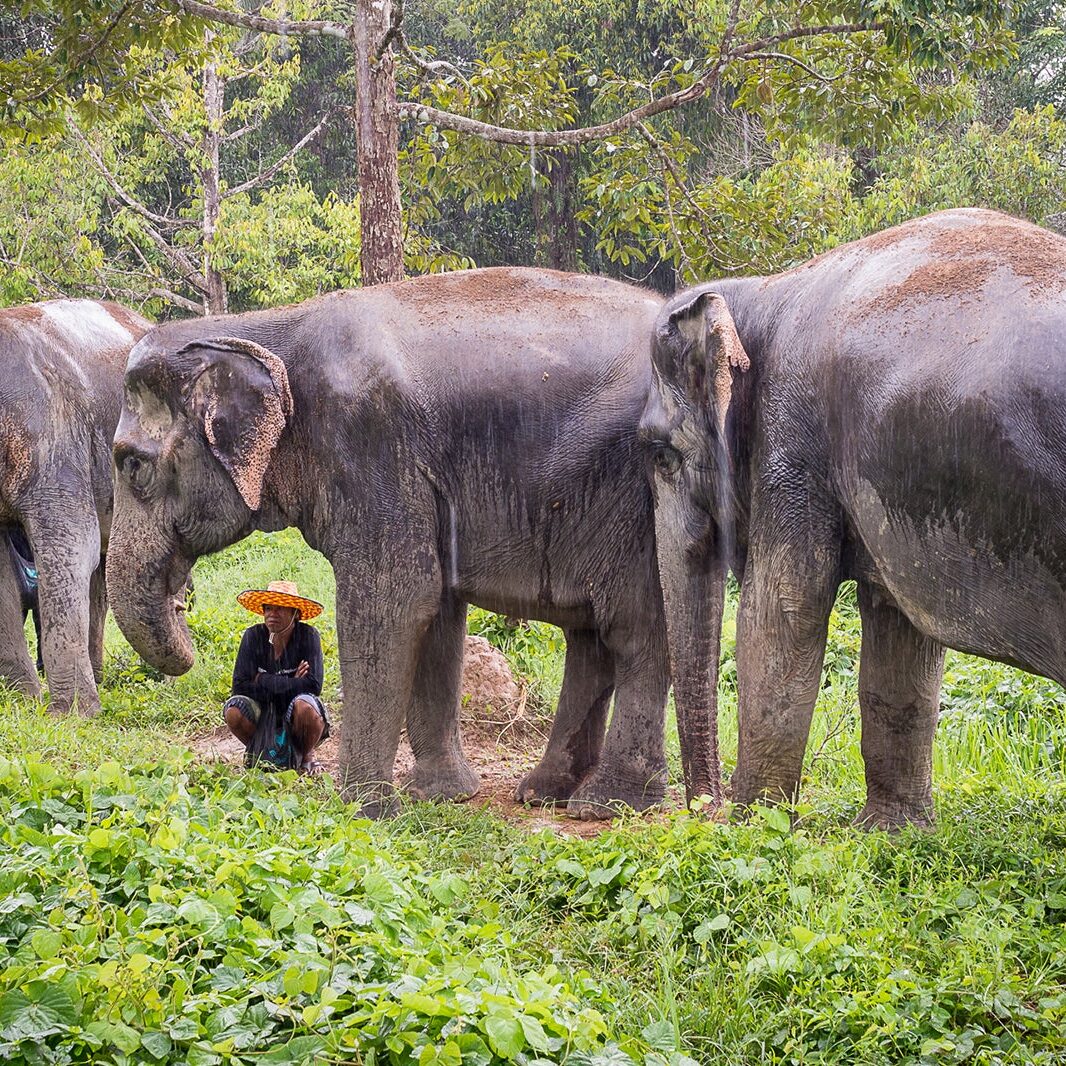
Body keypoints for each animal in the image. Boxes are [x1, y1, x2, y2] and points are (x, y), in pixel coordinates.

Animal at [106, 267, 674, 818]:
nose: (183, 611)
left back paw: (605, 805)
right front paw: (441, 796)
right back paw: (546, 794)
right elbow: (438, 613)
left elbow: (391, 604)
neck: (257, 328)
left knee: (635, 631)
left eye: (131, 464)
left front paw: (365, 809)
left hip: (641, 506)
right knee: (591, 638)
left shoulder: (370, 448)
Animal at [641, 207, 1066, 828]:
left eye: (659, 455)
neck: (764, 290)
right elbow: (899, 637)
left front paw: (752, 825)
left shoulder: (793, 442)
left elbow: (783, 611)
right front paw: (894, 832)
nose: (703, 811)